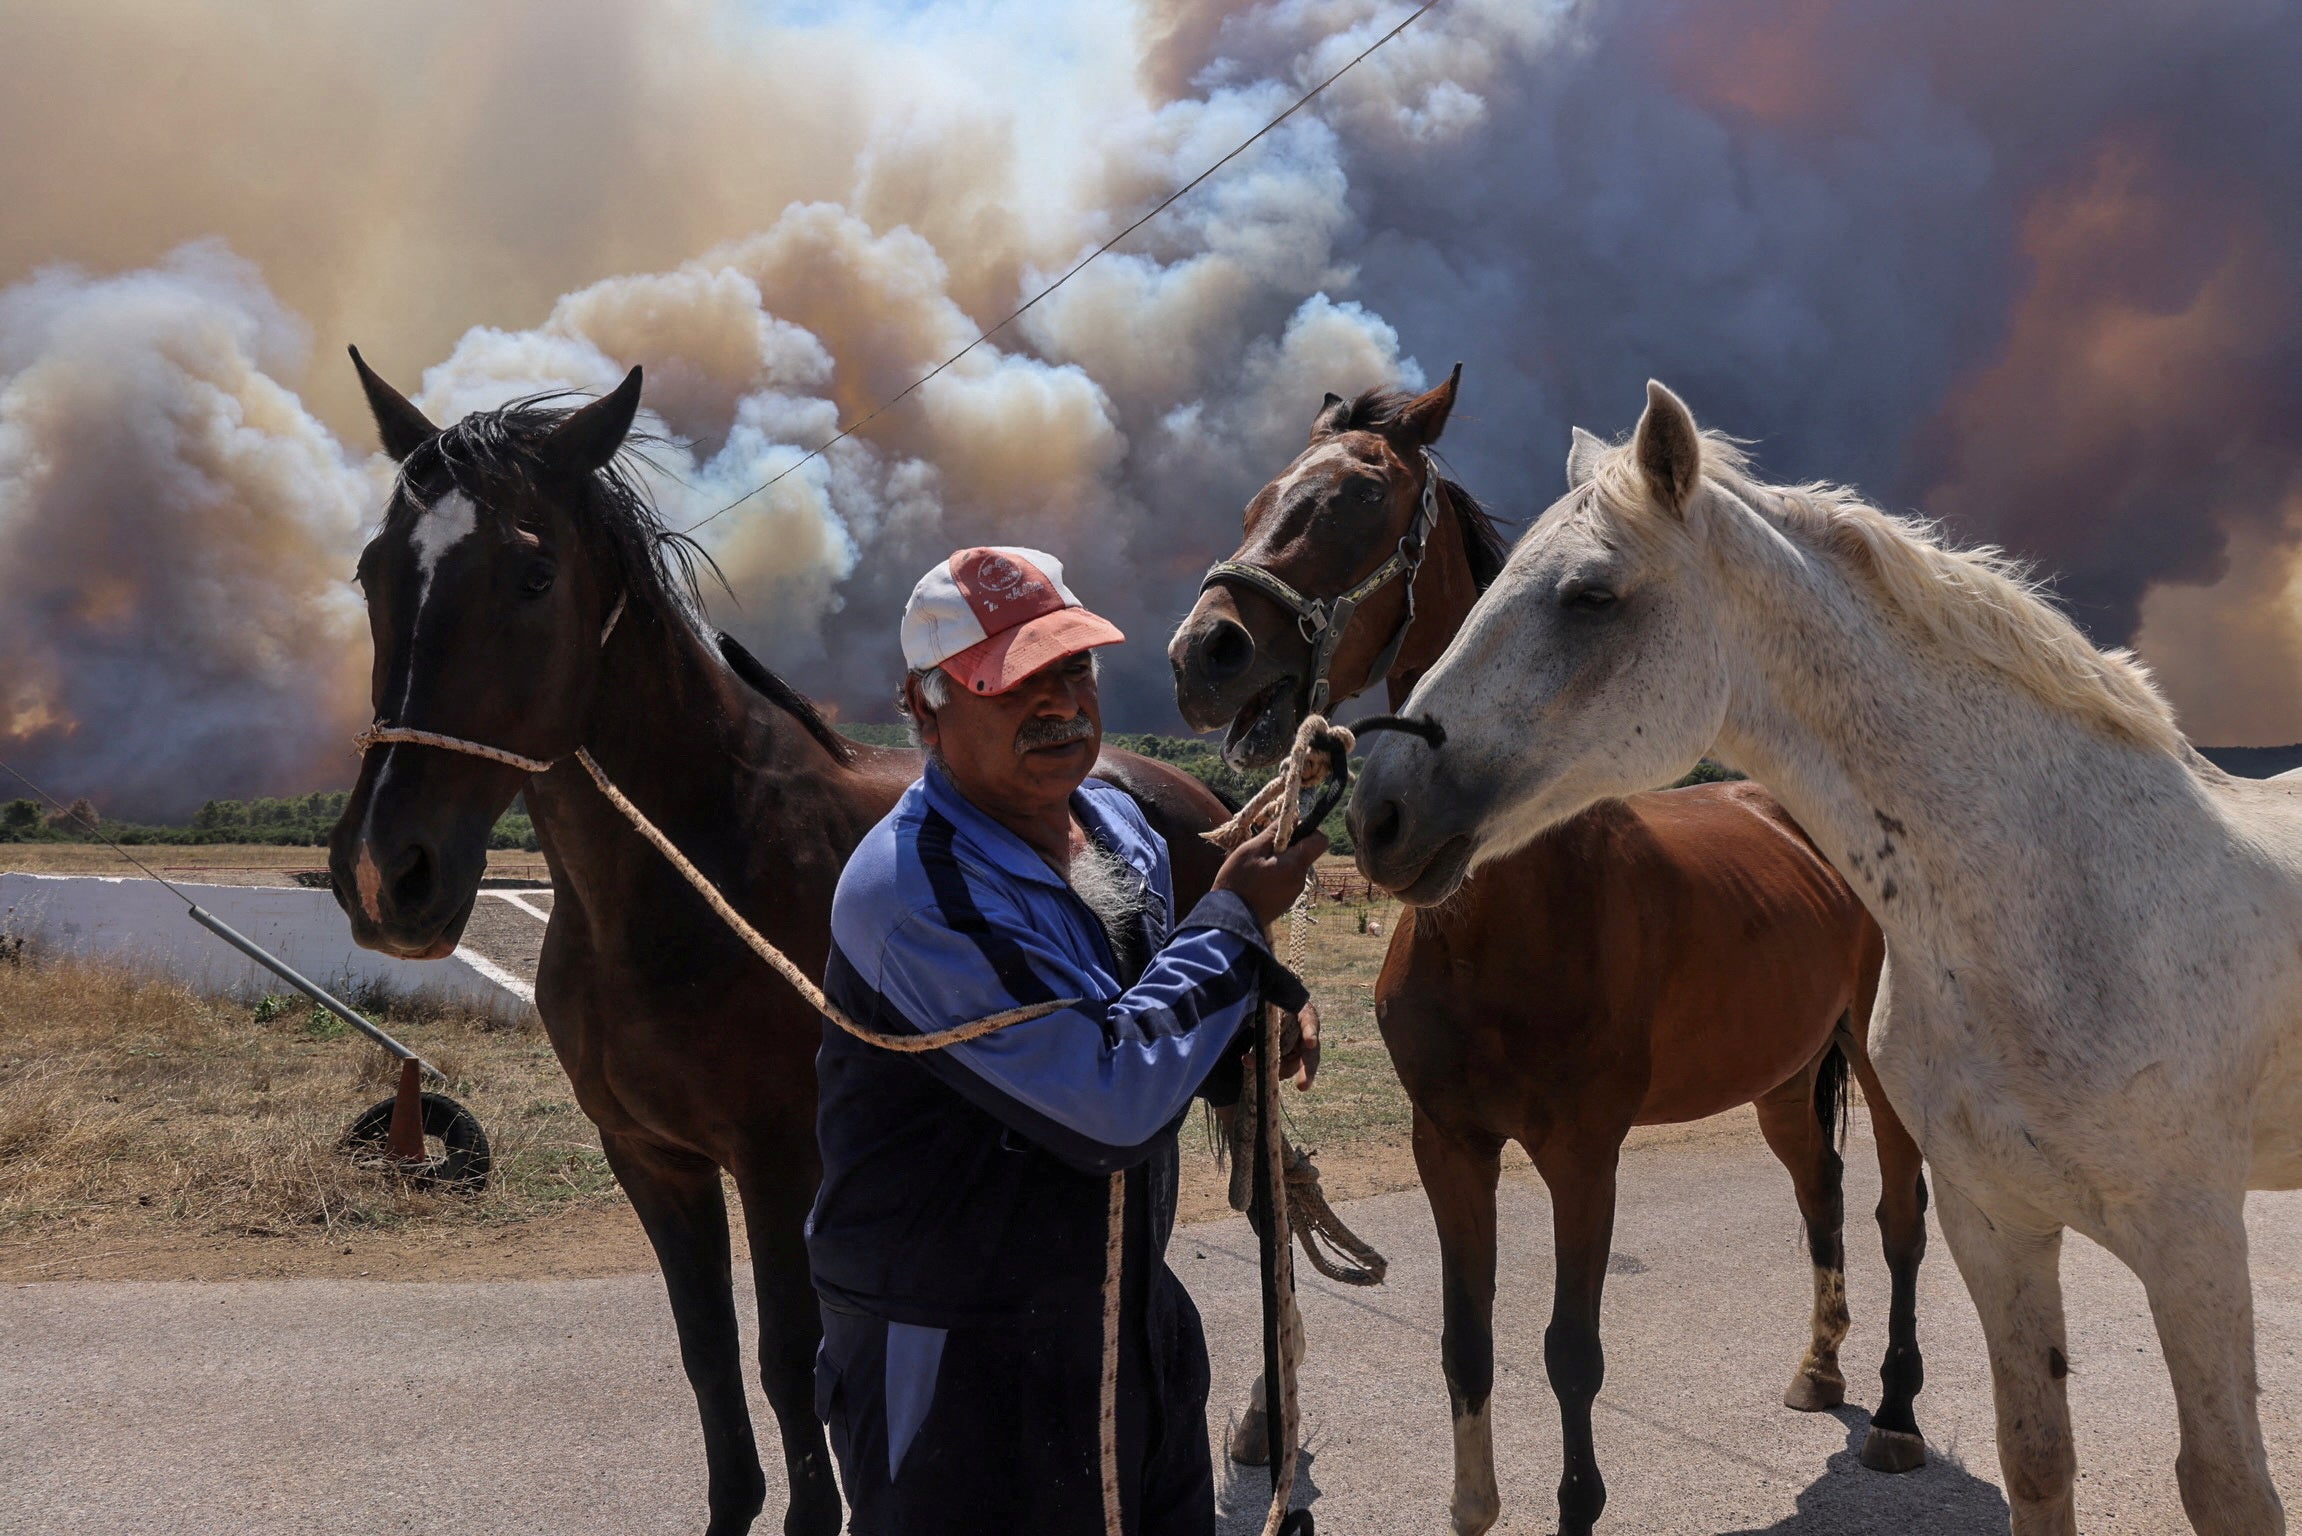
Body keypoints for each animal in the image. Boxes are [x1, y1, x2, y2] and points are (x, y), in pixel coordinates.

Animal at [329, 352, 1243, 1536]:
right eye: (370, 573)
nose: (384, 874)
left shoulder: (776, 1160)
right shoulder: (652, 1157)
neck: (694, 872)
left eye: (531, 577)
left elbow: (787, 1358)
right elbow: (708, 1357)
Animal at [1160, 375, 1933, 1536]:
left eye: (1357, 497)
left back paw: (1892, 1412)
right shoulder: (1450, 1143)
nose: (1203, 652)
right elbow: (1465, 1343)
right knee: (1821, 1194)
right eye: (1259, 497)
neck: (1508, 915)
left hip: (1879, 1072)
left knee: (1897, 1217)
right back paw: (1820, 1368)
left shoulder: (1582, 1152)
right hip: (1782, 1079)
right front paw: (1474, 1504)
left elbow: (1570, 1355)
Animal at [1344, 384, 2302, 1536]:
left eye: (1590, 596)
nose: (1377, 808)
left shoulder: (2193, 1243)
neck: (2071, 897)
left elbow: (2228, 1486)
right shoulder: (2001, 1223)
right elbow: (2037, 1457)